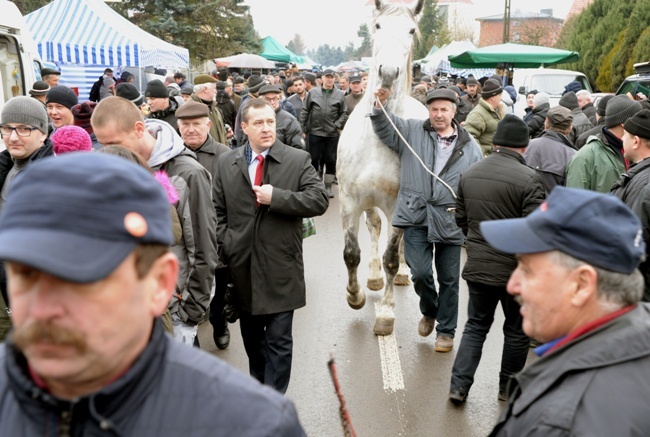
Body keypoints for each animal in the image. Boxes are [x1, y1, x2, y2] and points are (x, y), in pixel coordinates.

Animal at [336, 0, 428, 336]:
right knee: (375, 226)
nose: (387, 72)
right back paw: (374, 278)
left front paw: (386, 313)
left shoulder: (399, 204)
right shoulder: (349, 201)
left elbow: (391, 256)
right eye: (377, 26)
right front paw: (355, 296)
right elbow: (351, 253)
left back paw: (398, 275)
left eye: (411, 30)